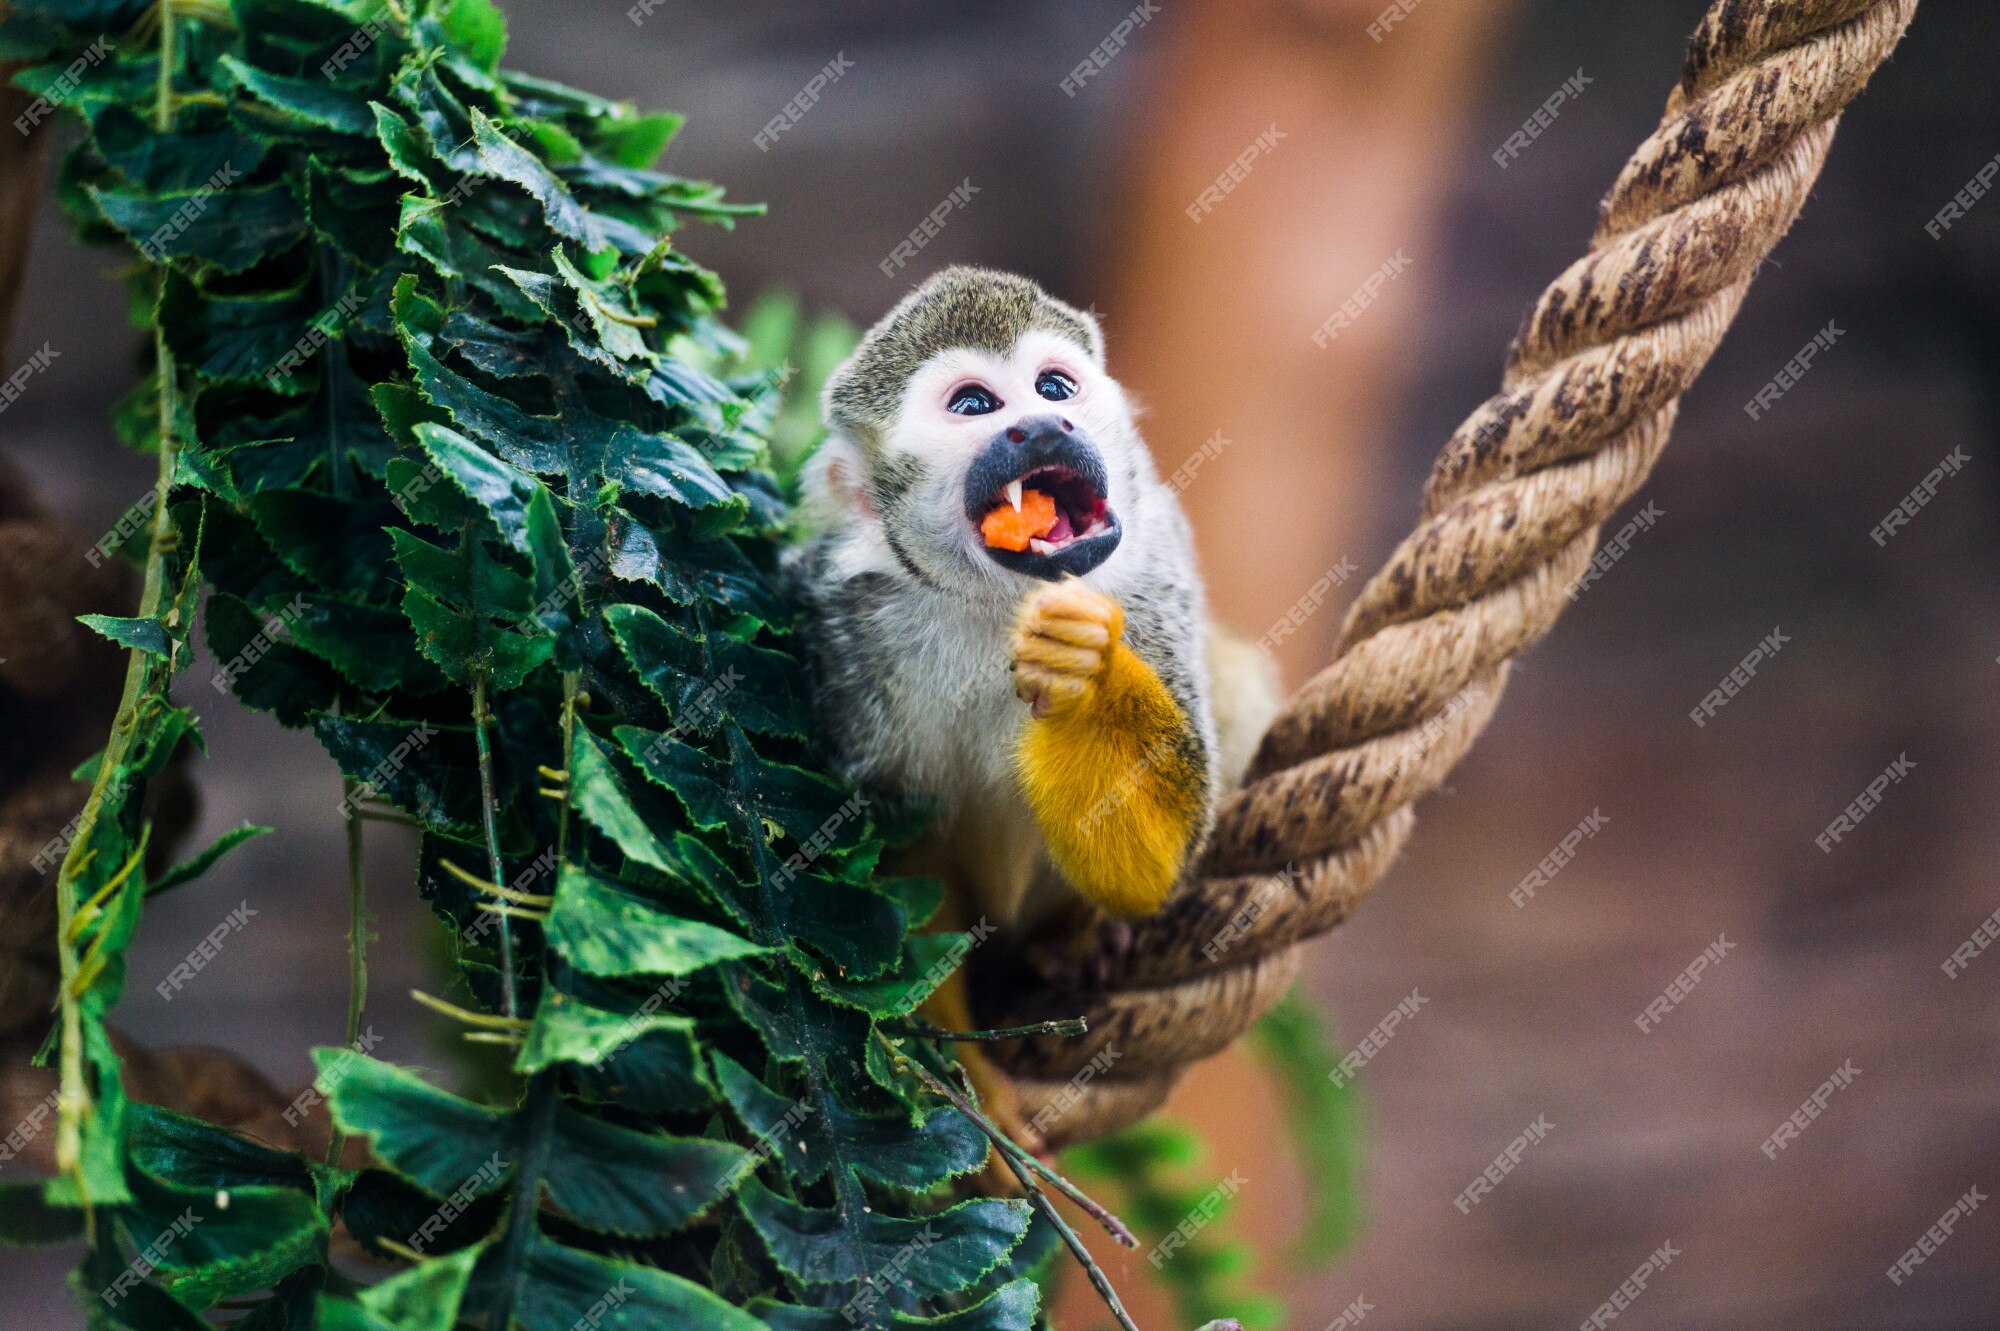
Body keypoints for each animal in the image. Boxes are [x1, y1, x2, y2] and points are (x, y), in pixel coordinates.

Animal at [784, 263, 1272, 1143]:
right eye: (975, 403)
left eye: (1053, 386)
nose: (1044, 425)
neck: (1004, 602)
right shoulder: (849, 629)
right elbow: (906, 867)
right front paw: (971, 1085)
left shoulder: (1155, 569)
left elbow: (1149, 866)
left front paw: (1087, 680)